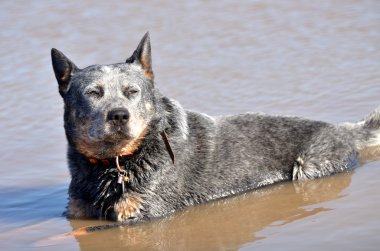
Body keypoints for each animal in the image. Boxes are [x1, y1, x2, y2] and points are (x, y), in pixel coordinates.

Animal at [51, 32, 380, 224]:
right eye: (94, 93)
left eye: (132, 91)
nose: (119, 115)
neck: (112, 164)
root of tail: (343, 129)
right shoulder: (76, 214)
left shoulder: (143, 214)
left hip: (310, 166)